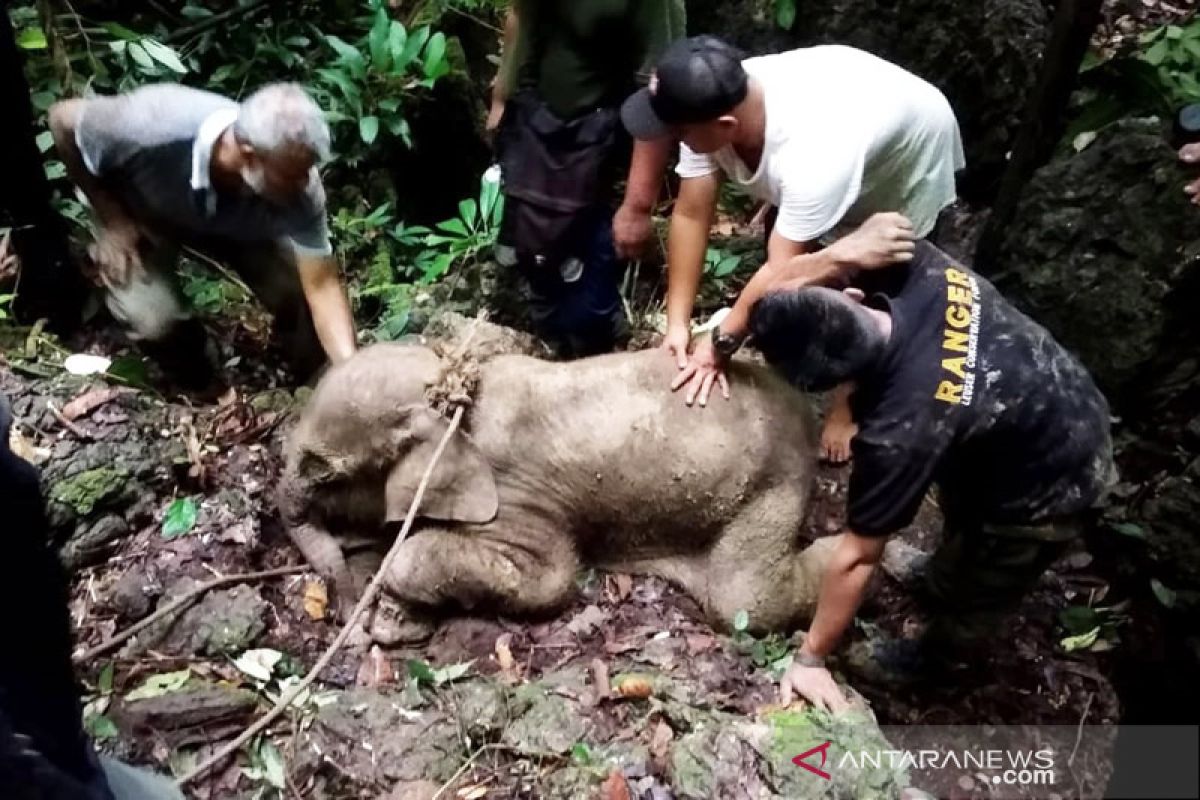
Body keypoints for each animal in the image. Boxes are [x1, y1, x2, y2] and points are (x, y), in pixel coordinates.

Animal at [280, 328, 844, 642]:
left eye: (324, 471)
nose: (349, 623)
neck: (456, 389)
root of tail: (803, 410)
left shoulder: (519, 497)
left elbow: (553, 579)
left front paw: (391, 623)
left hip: (773, 484)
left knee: (743, 598)